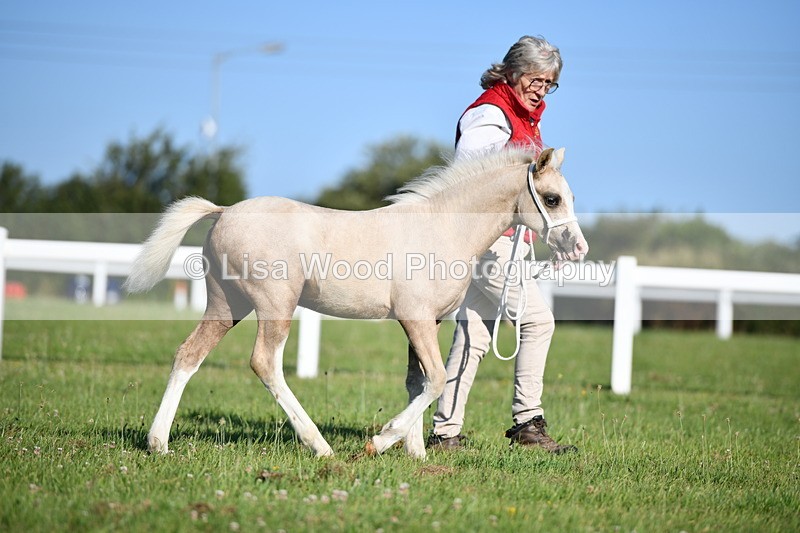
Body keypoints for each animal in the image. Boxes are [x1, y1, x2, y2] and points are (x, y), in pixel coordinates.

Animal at [123, 147, 588, 459]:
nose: (578, 248)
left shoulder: (428, 323)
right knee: (265, 363)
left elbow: (418, 380)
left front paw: (416, 454)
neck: (442, 227)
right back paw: (320, 446)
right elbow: (437, 379)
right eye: (551, 199)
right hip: (275, 304)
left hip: (226, 306)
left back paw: (159, 443)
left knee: (189, 354)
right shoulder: (416, 318)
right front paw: (380, 441)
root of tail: (224, 211)